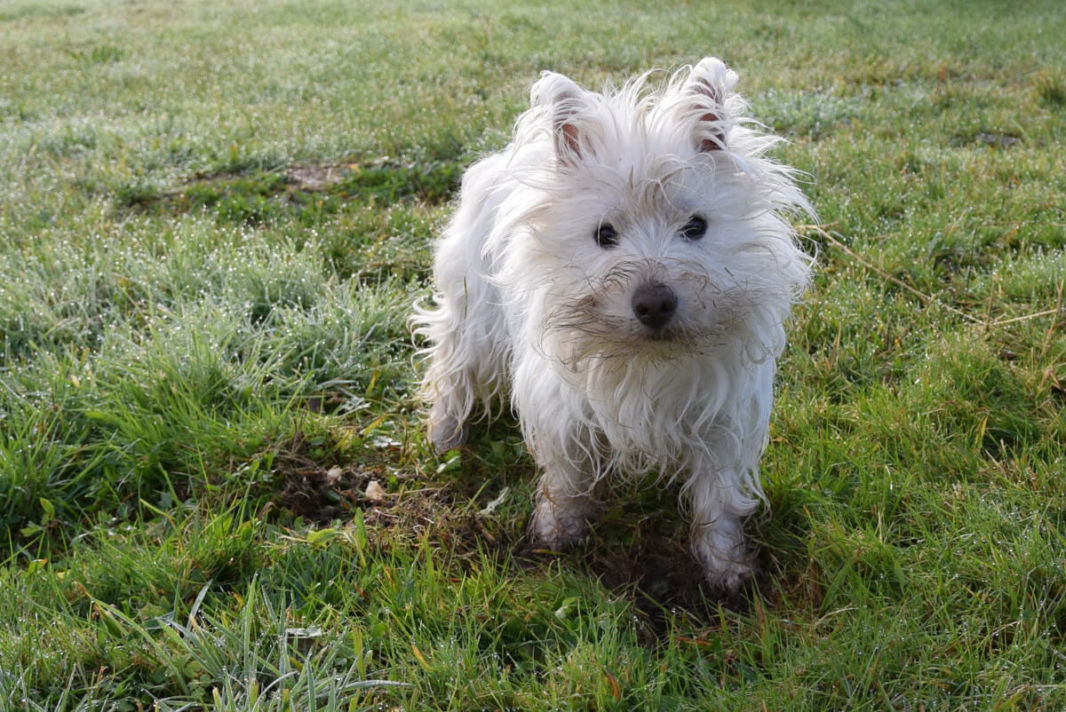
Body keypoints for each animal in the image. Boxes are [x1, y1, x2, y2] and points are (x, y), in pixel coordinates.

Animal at [411, 55, 810, 592]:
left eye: (696, 226)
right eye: (604, 234)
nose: (655, 303)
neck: (646, 358)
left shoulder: (723, 418)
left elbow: (716, 497)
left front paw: (724, 566)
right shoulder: (562, 405)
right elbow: (566, 476)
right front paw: (555, 535)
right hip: (472, 316)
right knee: (453, 370)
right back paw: (445, 436)